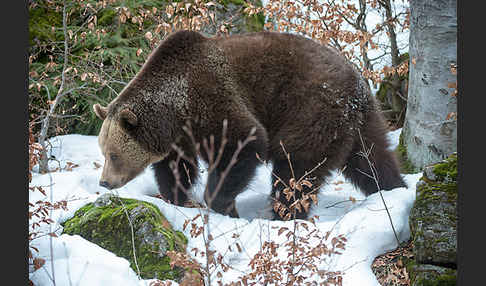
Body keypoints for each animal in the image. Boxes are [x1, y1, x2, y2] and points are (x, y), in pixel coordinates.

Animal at [92, 30, 406, 220]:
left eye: (113, 155)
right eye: (104, 152)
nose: (105, 182)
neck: (176, 108)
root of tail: (357, 85)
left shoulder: (212, 100)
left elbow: (244, 143)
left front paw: (220, 203)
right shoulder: (180, 137)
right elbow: (177, 168)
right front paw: (176, 197)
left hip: (311, 110)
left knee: (295, 169)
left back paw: (285, 215)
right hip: (363, 121)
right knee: (372, 159)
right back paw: (393, 189)